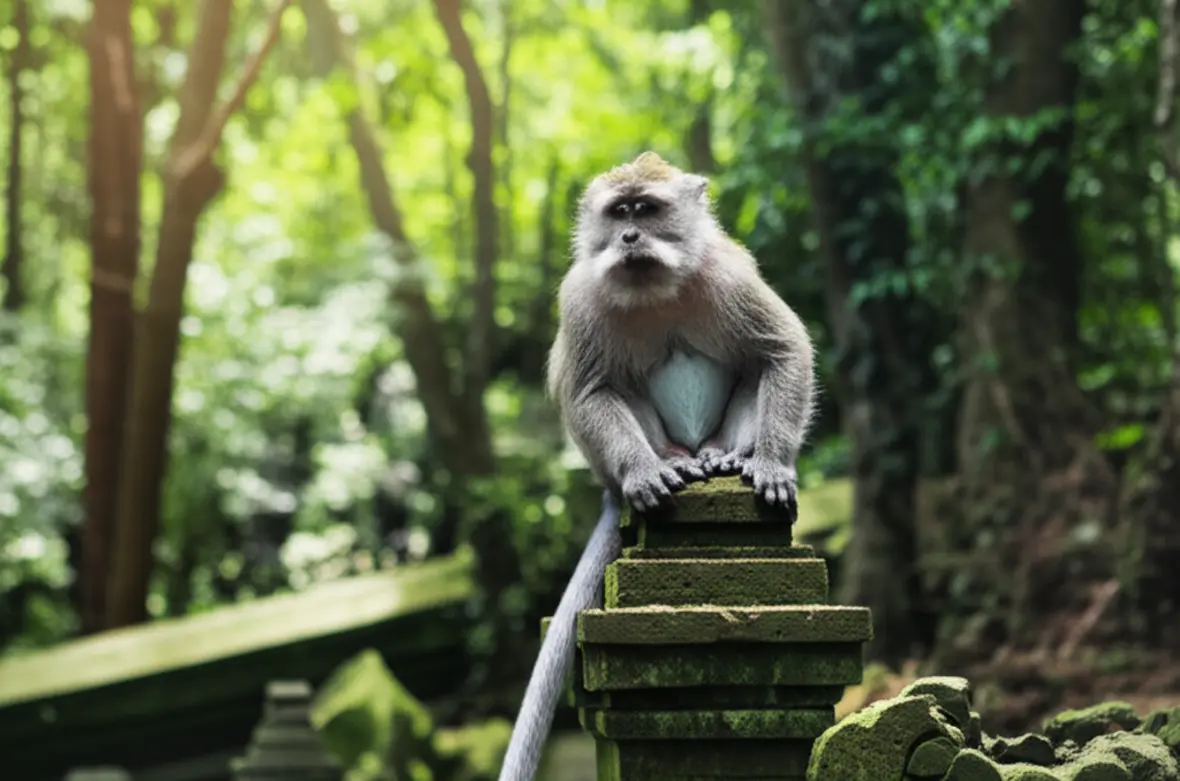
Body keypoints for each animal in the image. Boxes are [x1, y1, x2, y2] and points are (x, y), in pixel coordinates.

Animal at [496, 152, 815, 781]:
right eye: (618, 212)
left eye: (645, 209)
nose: (628, 237)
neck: (655, 288)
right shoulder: (580, 300)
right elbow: (590, 392)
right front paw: (642, 475)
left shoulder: (729, 277)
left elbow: (783, 350)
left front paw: (771, 464)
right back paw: (658, 467)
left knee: (754, 372)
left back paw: (726, 454)